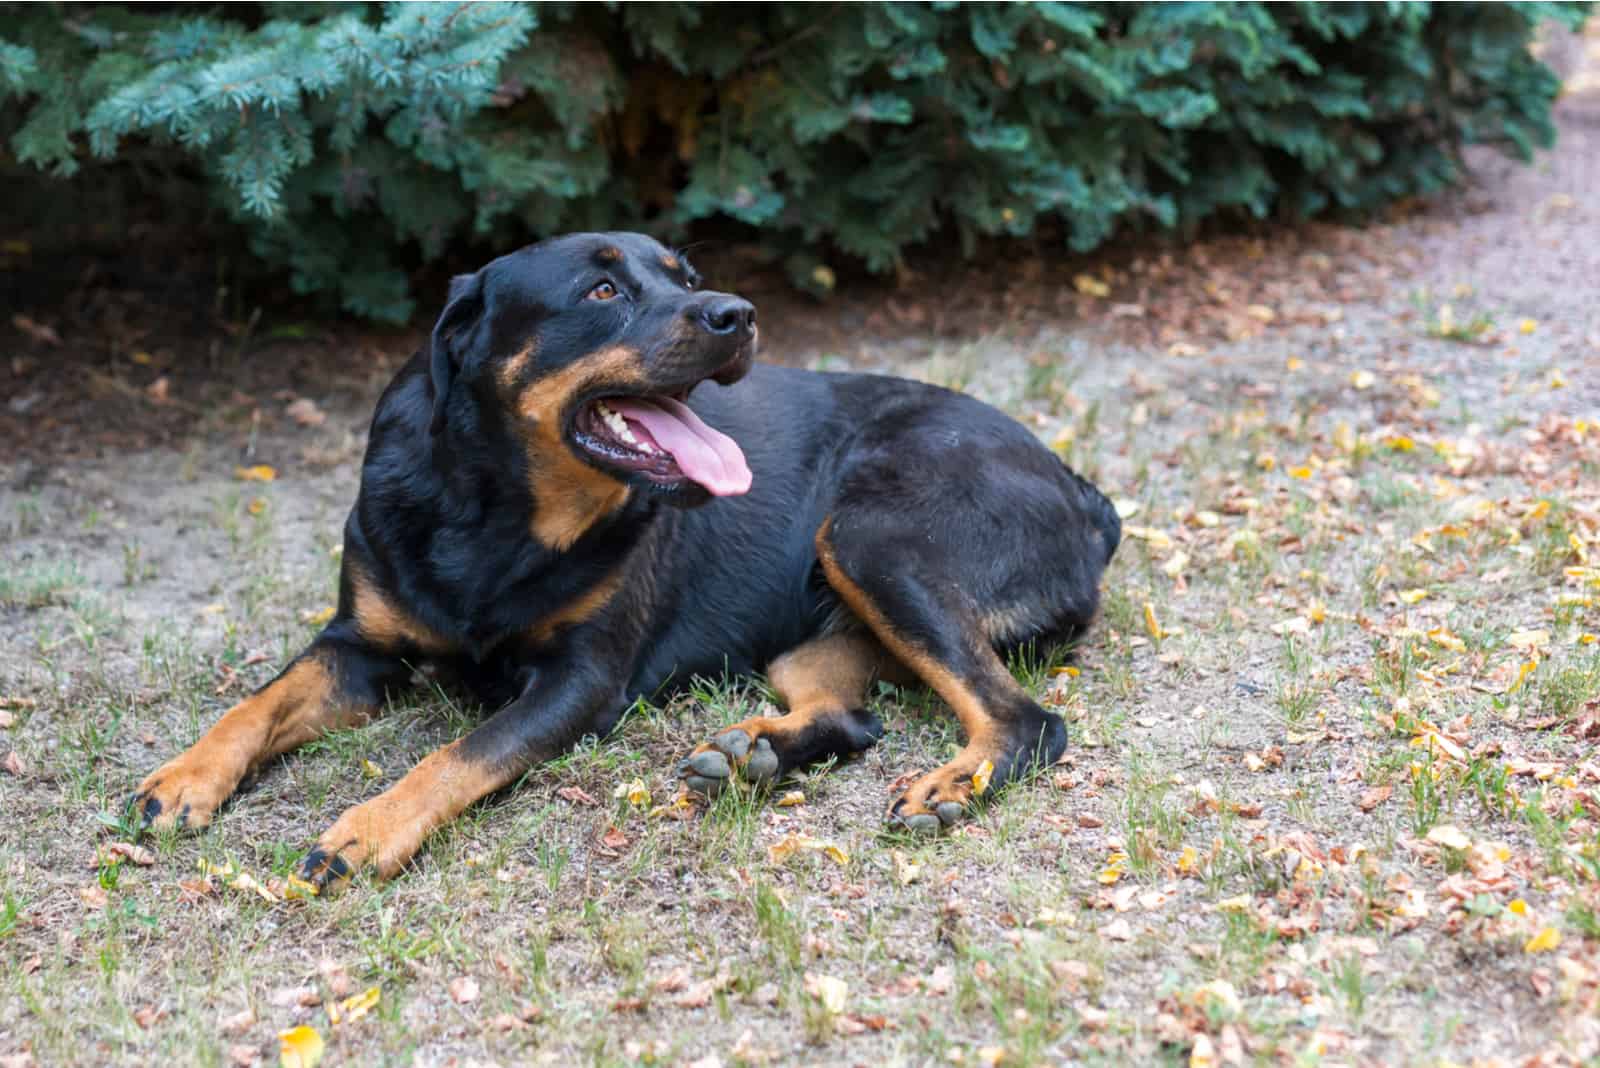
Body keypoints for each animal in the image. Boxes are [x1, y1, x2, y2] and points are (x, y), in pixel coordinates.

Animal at [131, 233, 1120, 895]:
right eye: (602, 289)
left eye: (685, 278)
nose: (736, 312)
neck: (496, 509)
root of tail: (1084, 491)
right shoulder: (355, 649)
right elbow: (257, 703)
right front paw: (184, 777)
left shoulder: (580, 680)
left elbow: (459, 753)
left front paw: (366, 829)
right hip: (815, 625)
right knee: (853, 712)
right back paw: (754, 753)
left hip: (872, 538)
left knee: (1029, 720)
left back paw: (953, 782)